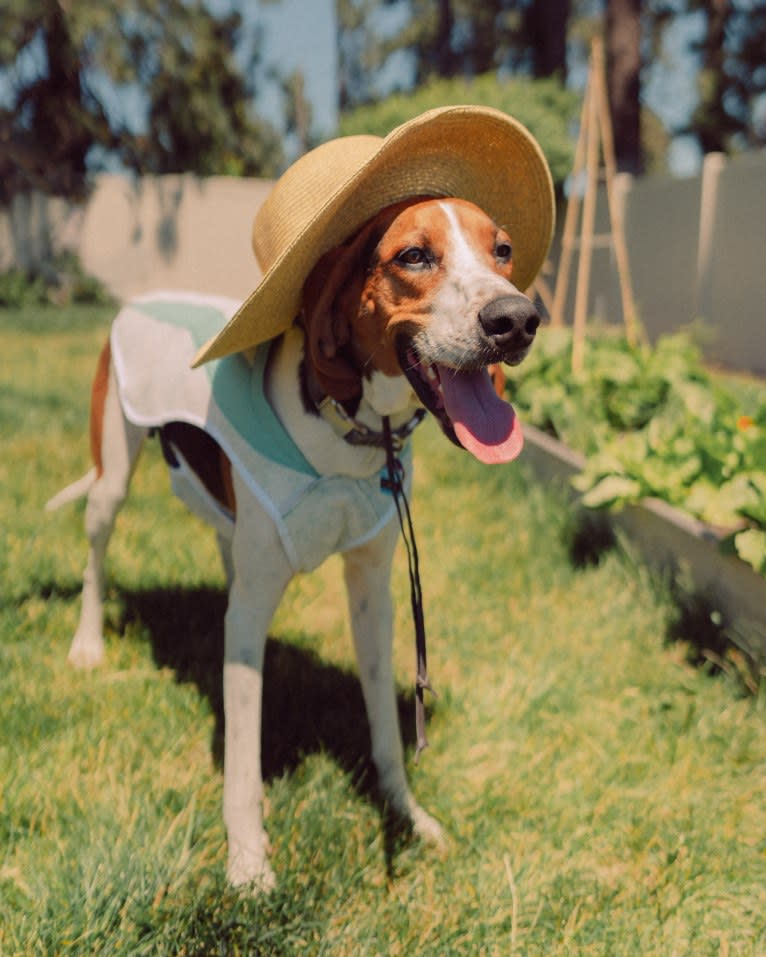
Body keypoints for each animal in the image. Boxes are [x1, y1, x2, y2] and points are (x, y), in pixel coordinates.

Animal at [49, 194, 540, 888]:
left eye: (503, 251)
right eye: (414, 255)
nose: (518, 320)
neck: (354, 429)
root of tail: (144, 298)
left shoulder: (372, 593)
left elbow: (384, 728)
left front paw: (407, 814)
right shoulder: (255, 607)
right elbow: (243, 756)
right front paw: (248, 861)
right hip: (110, 480)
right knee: (97, 556)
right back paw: (88, 645)